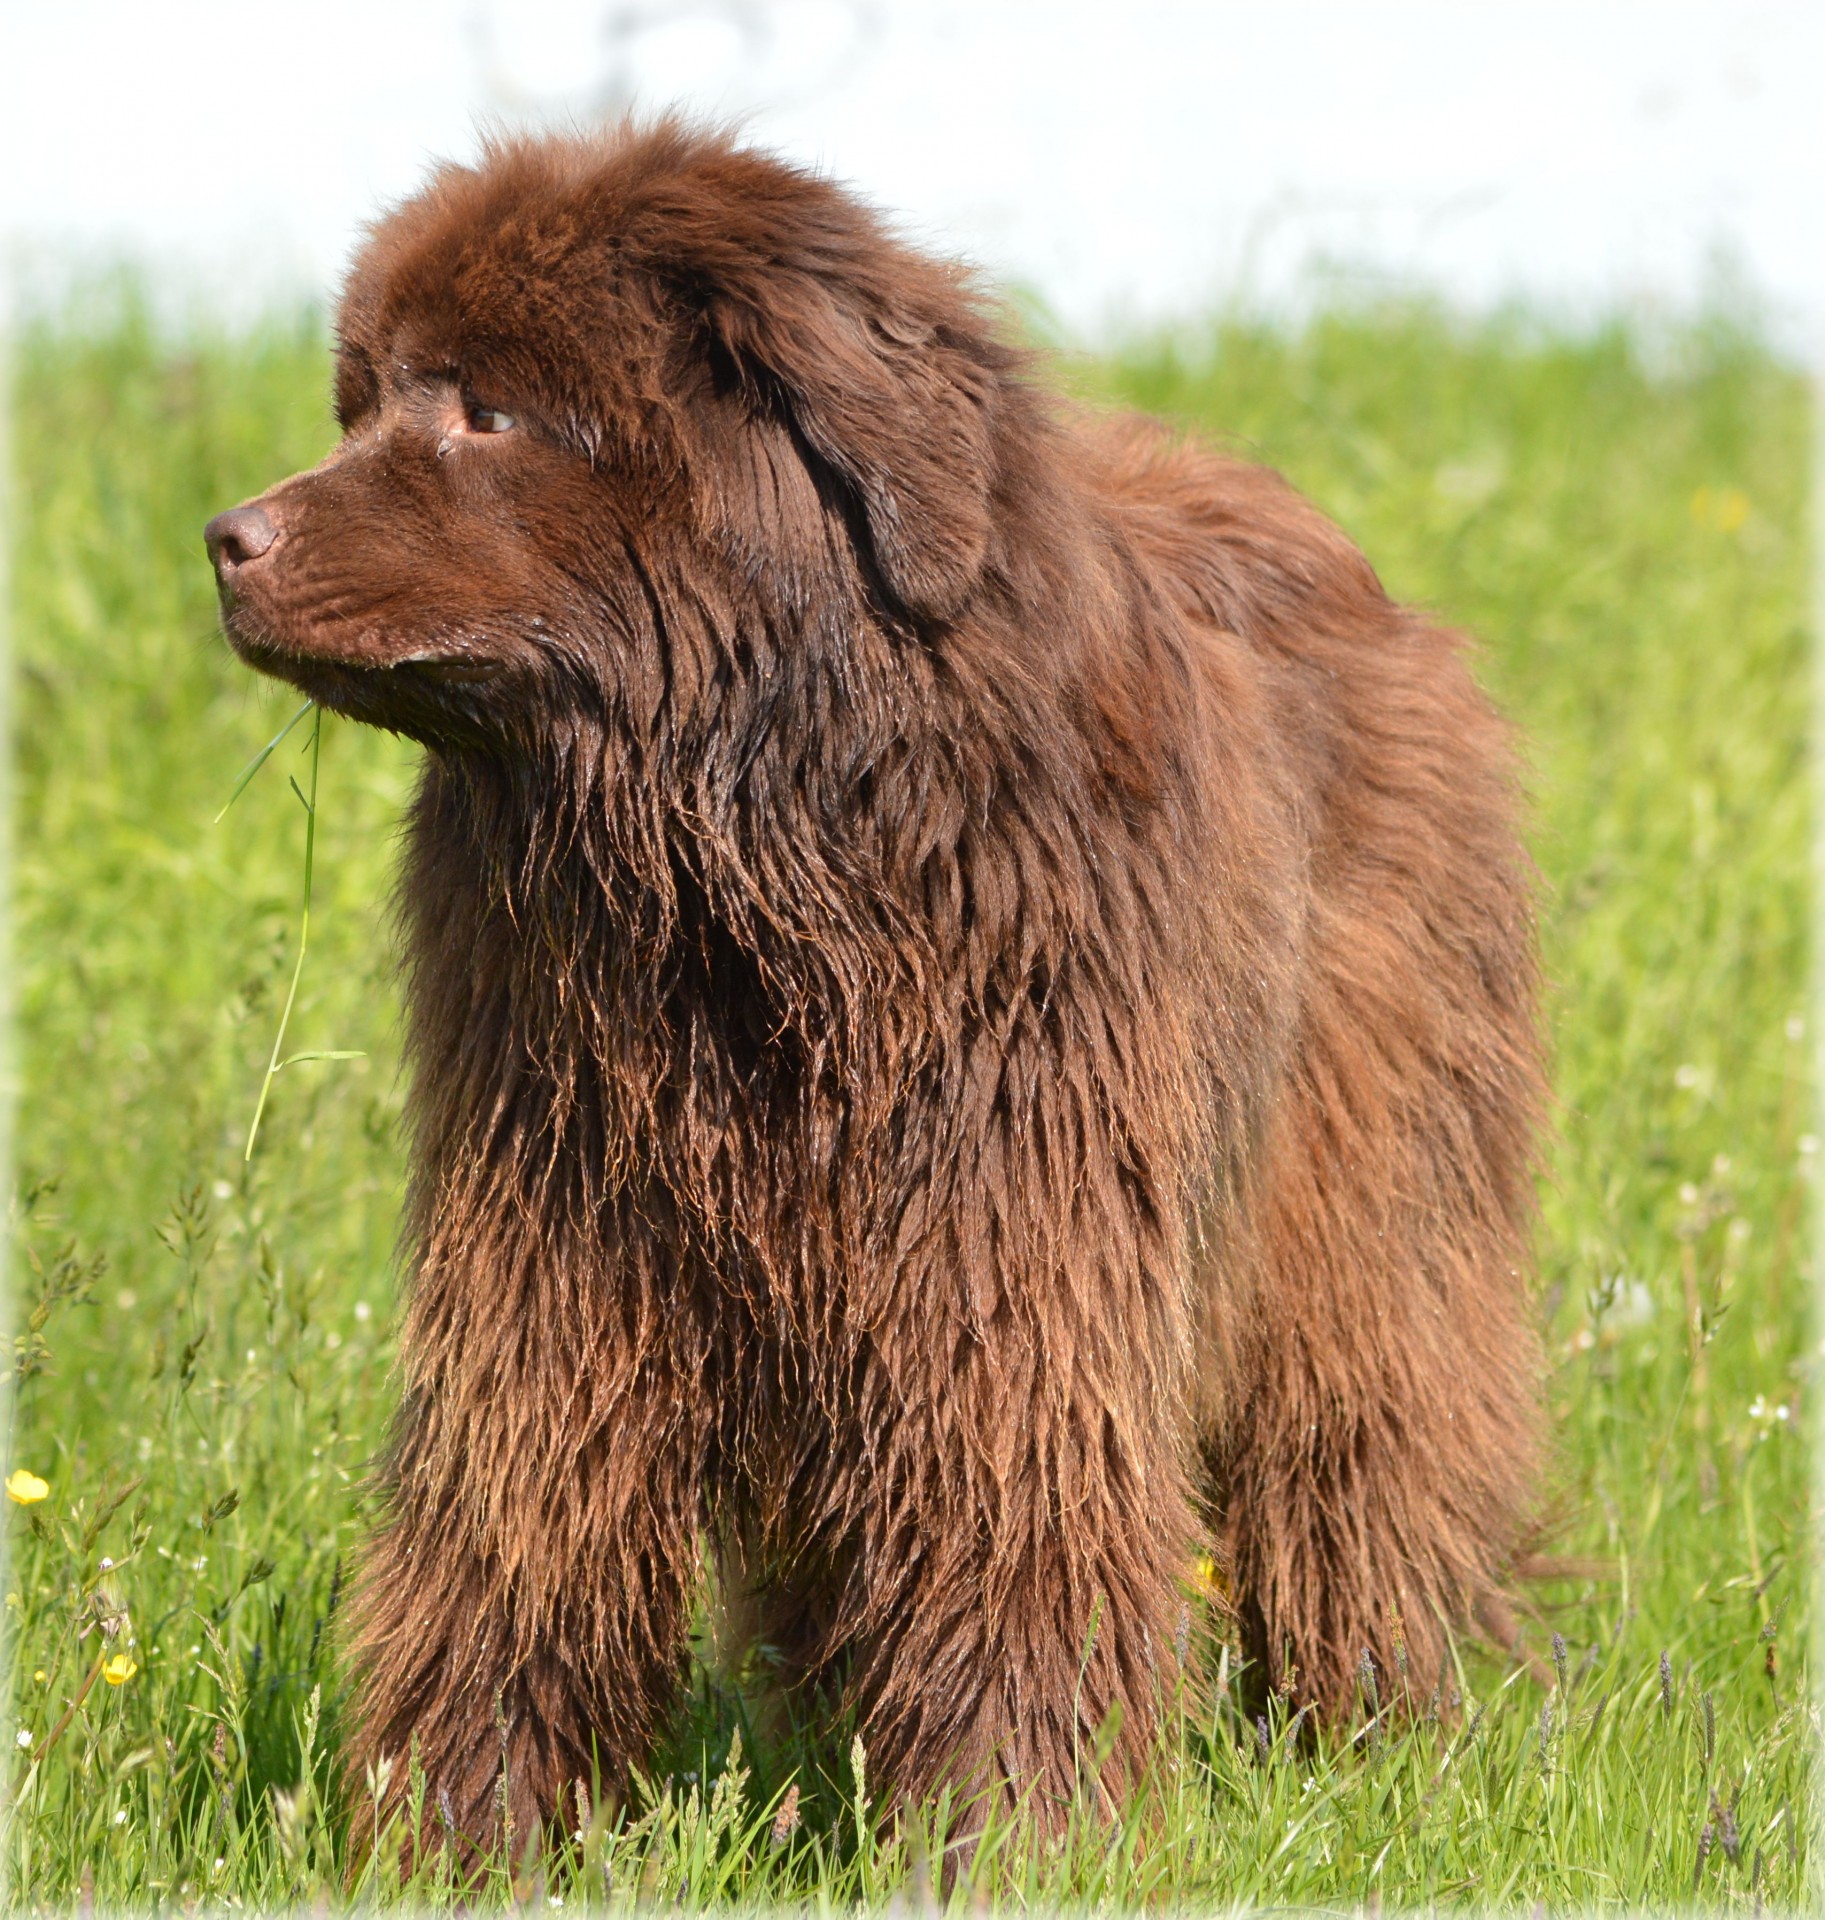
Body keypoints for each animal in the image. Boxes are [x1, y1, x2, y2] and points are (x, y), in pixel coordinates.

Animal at [203, 123, 1542, 1858]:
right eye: (364, 402)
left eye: (484, 411)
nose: (228, 538)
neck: (740, 863)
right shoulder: (559, 1223)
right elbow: (524, 1510)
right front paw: (462, 1836)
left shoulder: (1003, 1228)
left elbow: (1005, 1500)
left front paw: (1020, 1835)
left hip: (1365, 1182)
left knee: (1359, 1445)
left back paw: (1377, 1729)